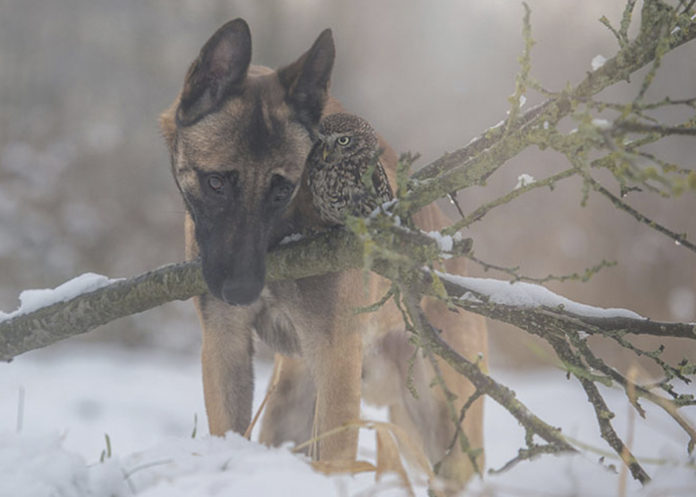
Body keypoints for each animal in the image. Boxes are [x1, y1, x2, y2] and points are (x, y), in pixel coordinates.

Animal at [160, 18, 486, 488]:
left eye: (282, 190)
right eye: (216, 183)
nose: (241, 291)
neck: (284, 231)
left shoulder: (334, 355)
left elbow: (335, 458)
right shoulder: (225, 343)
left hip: (446, 437)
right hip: (290, 409)